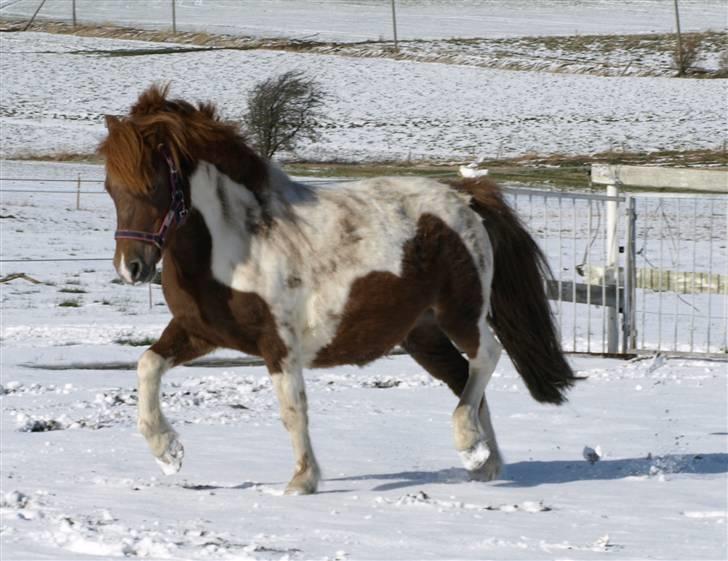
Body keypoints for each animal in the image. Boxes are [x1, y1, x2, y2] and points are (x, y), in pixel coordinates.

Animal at [99, 84, 576, 494]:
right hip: (422, 334)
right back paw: (483, 461)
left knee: (486, 357)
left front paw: (302, 481)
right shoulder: (199, 331)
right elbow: (147, 364)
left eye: (153, 185)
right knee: (464, 378)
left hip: (460, 313)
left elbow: (293, 410)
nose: (132, 267)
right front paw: (168, 452)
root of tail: (466, 197)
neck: (236, 243)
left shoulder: (279, 344)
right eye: (110, 187)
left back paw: (469, 443)